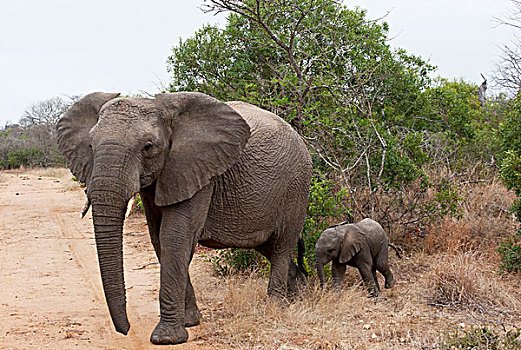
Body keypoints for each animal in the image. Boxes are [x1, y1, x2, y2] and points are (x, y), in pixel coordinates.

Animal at [58, 91, 308, 344]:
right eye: (90, 145)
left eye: (148, 147)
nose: (126, 330)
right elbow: (158, 238)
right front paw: (189, 321)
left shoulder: (198, 171)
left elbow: (175, 237)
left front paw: (167, 338)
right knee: (267, 246)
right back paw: (299, 294)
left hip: (296, 188)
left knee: (281, 246)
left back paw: (276, 306)